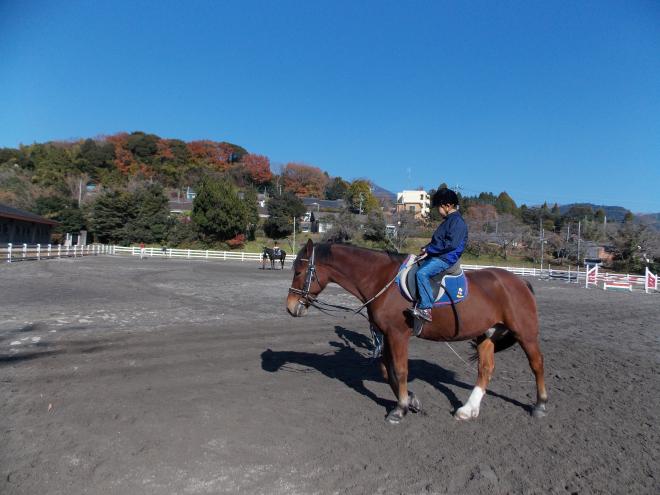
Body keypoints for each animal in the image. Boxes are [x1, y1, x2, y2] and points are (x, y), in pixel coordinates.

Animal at [286, 240, 547, 424]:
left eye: (298, 272)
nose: (290, 307)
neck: (381, 279)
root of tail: (520, 282)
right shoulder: (385, 334)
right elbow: (386, 370)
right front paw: (410, 400)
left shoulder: (398, 335)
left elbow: (400, 371)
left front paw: (400, 410)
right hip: (485, 334)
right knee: (485, 369)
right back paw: (468, 410)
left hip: (525, 333)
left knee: (537, 364)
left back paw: (540, 405)